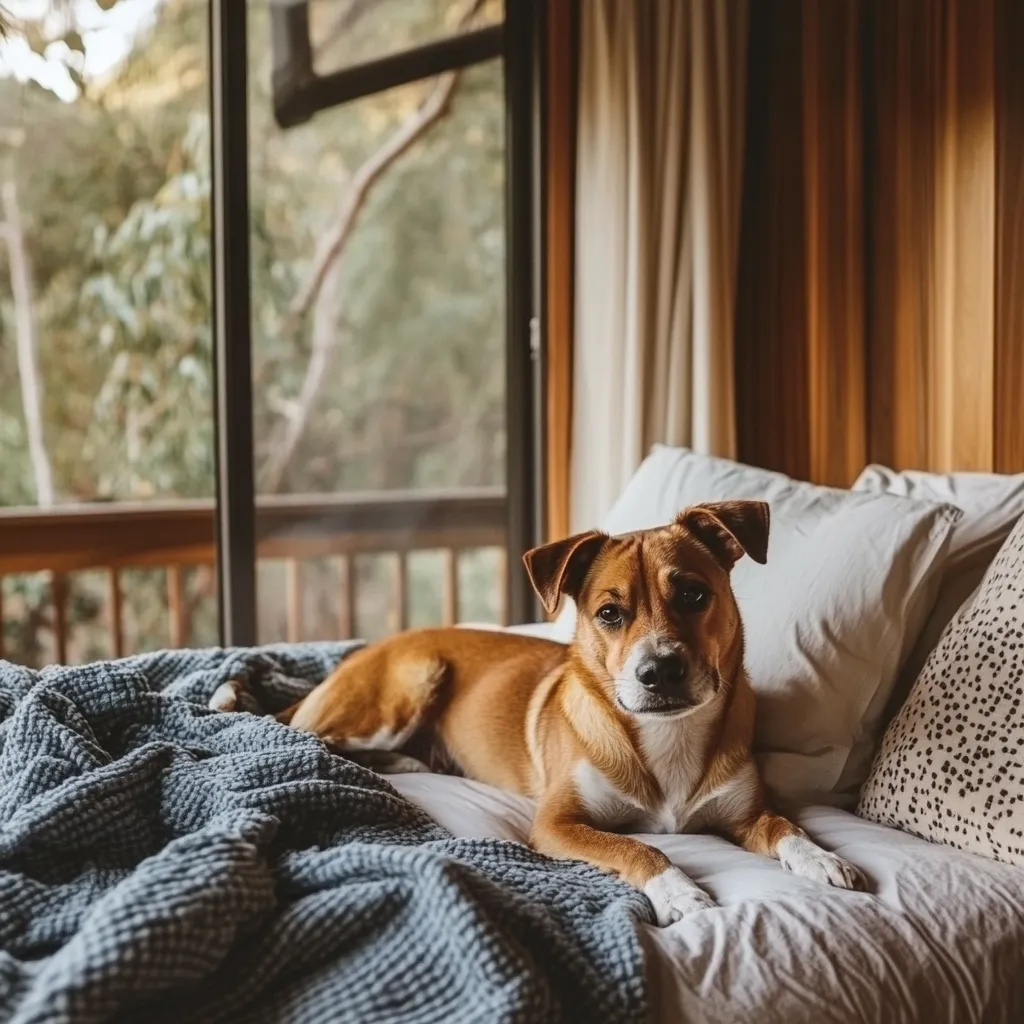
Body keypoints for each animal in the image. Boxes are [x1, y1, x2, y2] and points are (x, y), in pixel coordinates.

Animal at [209, 499, 864, 925]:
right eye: (609, 613)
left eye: (693, 595)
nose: (658, 672)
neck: (664, 734)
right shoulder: (558, 823)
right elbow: (639, 848)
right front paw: (679, 892)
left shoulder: (745, 812)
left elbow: (784, 825)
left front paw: (823, 858)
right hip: (406, 684)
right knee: (305, 736)